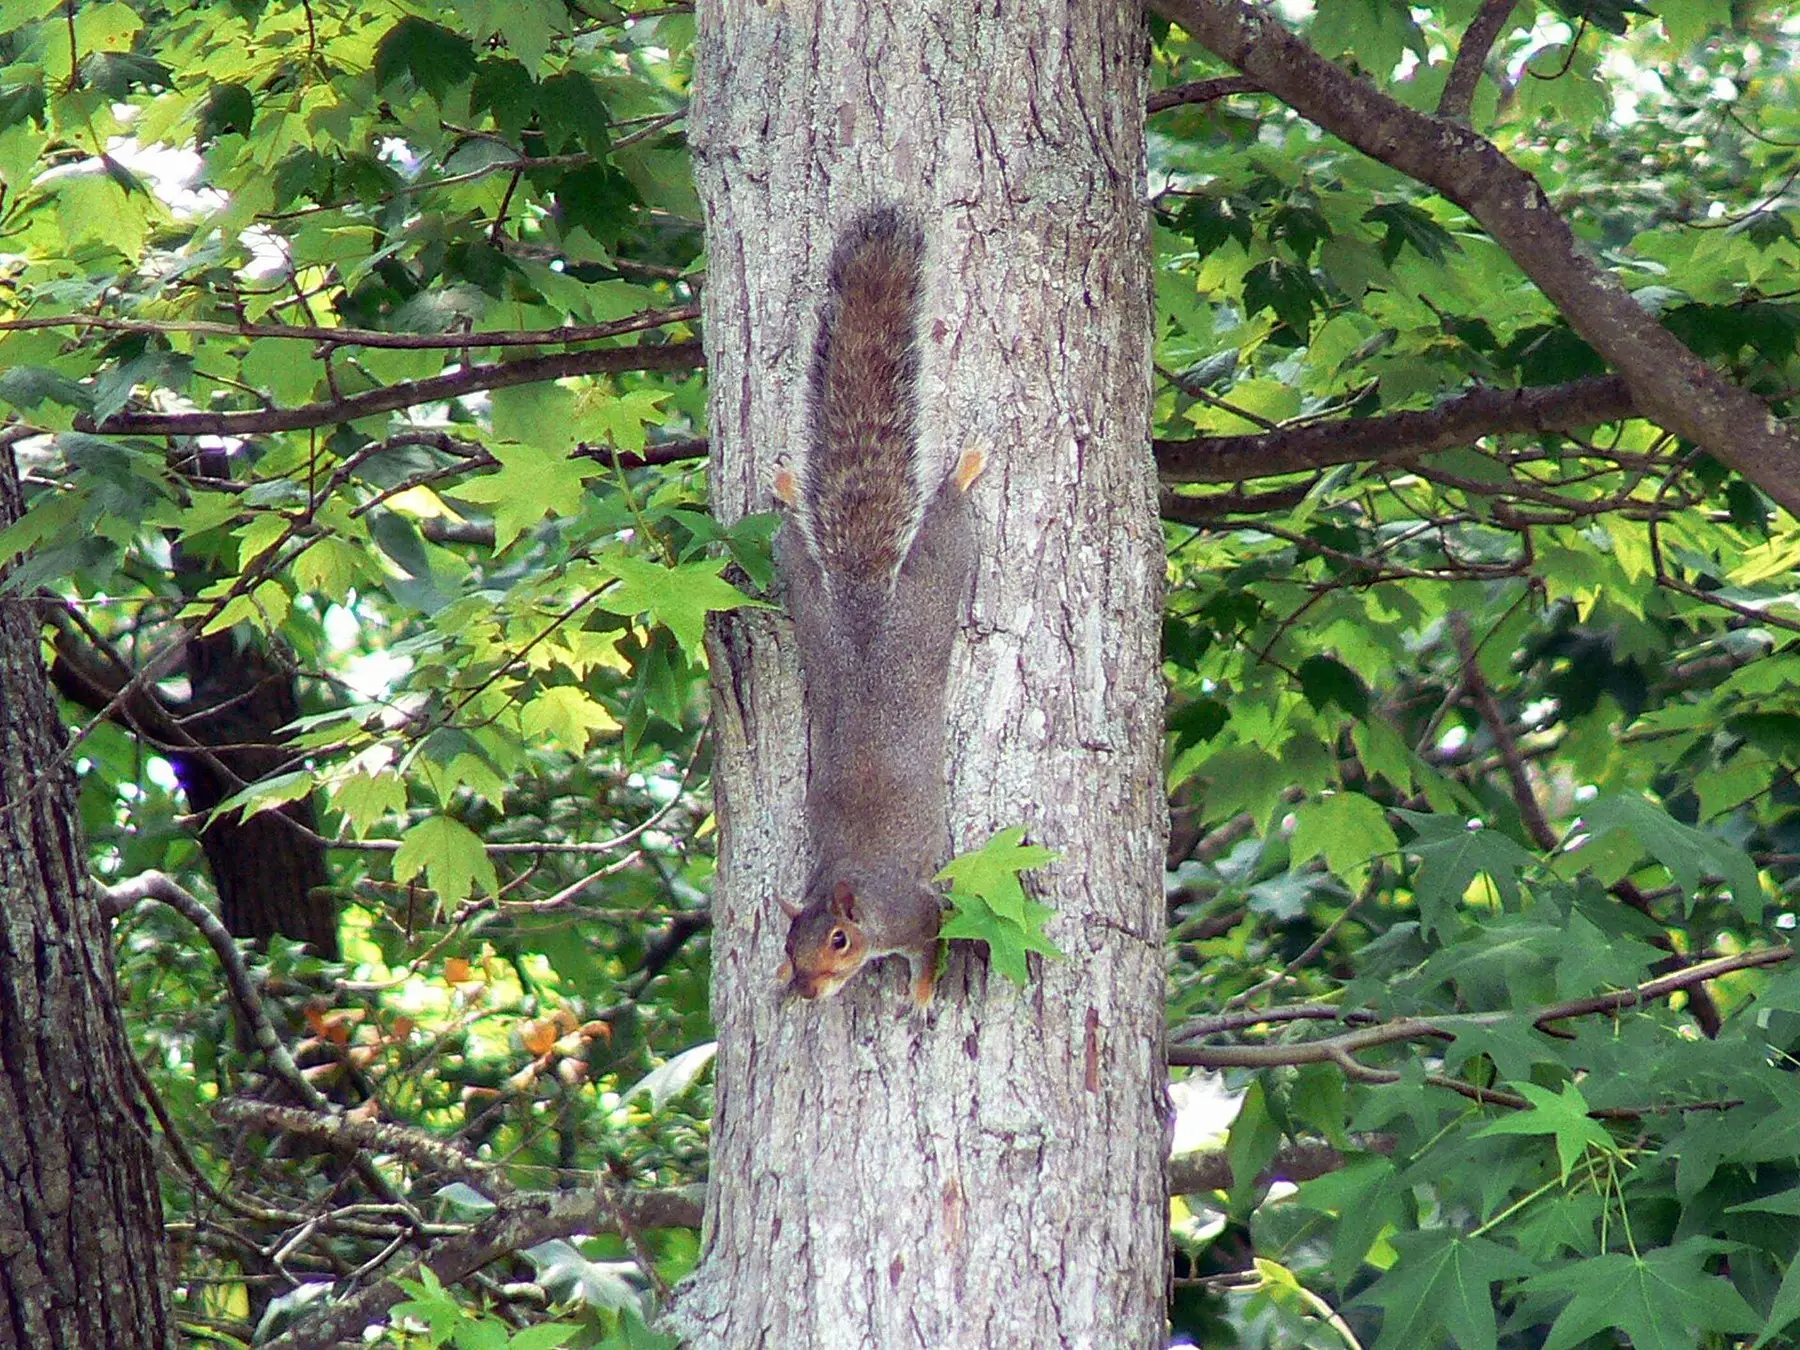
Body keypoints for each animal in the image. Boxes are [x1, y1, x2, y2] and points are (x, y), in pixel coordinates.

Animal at [772, 206, 984, 1009]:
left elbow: (933, 944)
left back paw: (961, 475)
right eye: (788, 943)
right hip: (812, 616)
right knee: (795, 553)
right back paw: (789, 494)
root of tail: (863, 619)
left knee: (947, 528)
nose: (806, 991)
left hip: (930, 595)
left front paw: (922, 992)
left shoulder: (917, 911)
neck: (849, 886)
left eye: (839, 940)